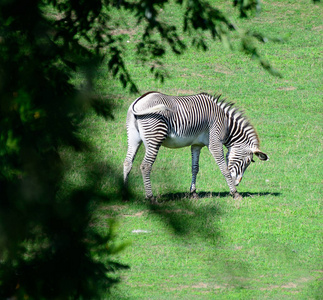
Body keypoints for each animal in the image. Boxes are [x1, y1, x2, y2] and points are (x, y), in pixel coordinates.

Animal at [123, 91, 270, 202]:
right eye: (247, 161)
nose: (238, 183)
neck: (226, 125)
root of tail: (140, 100)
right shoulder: (215, 143)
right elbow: (224, 169)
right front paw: (235, 193)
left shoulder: (196, 145)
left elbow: (195, 168)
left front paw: (193, 193)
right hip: (154, 138)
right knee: (145, 166)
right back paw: (151, 197)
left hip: (134, 137)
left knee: (127, 162)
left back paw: (125, 195)